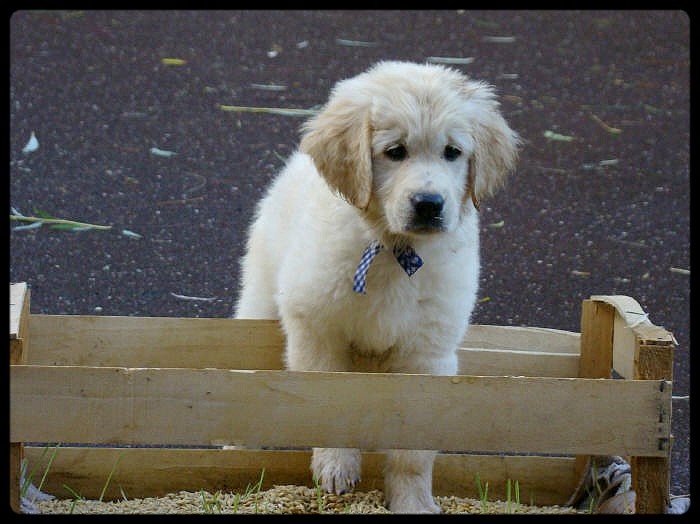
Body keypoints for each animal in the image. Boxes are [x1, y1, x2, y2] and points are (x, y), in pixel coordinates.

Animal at [235, 61, 519, 513]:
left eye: (452, 152)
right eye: (395, 151)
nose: (428, 204)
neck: (393, 249)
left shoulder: (427, 355)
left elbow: (413, 452)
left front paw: (413, 501)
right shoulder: (319, 328)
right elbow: (331, 405)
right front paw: (336, 467)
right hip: (258, 297)